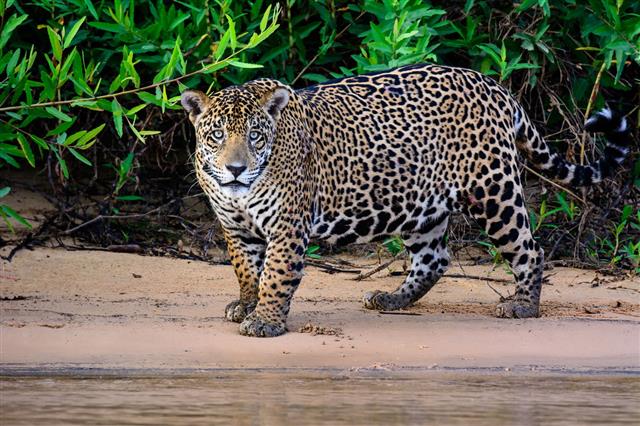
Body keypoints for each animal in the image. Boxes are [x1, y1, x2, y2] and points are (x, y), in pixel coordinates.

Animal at [181, 63, 630, 337]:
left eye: (256, 136)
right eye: (216, 135)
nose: (235, 169)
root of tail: (495, 86)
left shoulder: (288, 226)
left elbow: (275, 275)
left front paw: (265, 322)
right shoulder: (235, 228)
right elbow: (246, 270)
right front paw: (246, 305)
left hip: (493, 190)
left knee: (529, 249)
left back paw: (522, 306)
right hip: (421, 205)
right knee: (435, 258)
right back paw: (393, 299)